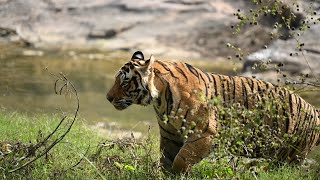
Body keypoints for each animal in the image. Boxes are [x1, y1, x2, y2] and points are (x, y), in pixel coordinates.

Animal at [107, 50, 320, 173]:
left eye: (124, 82)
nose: (108, 98)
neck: (160, 99)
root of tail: (314, 110)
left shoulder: (204, 134)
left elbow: (181, 161)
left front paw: (178, 174)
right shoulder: (170, 136)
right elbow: (165, 161)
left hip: (290, 156)